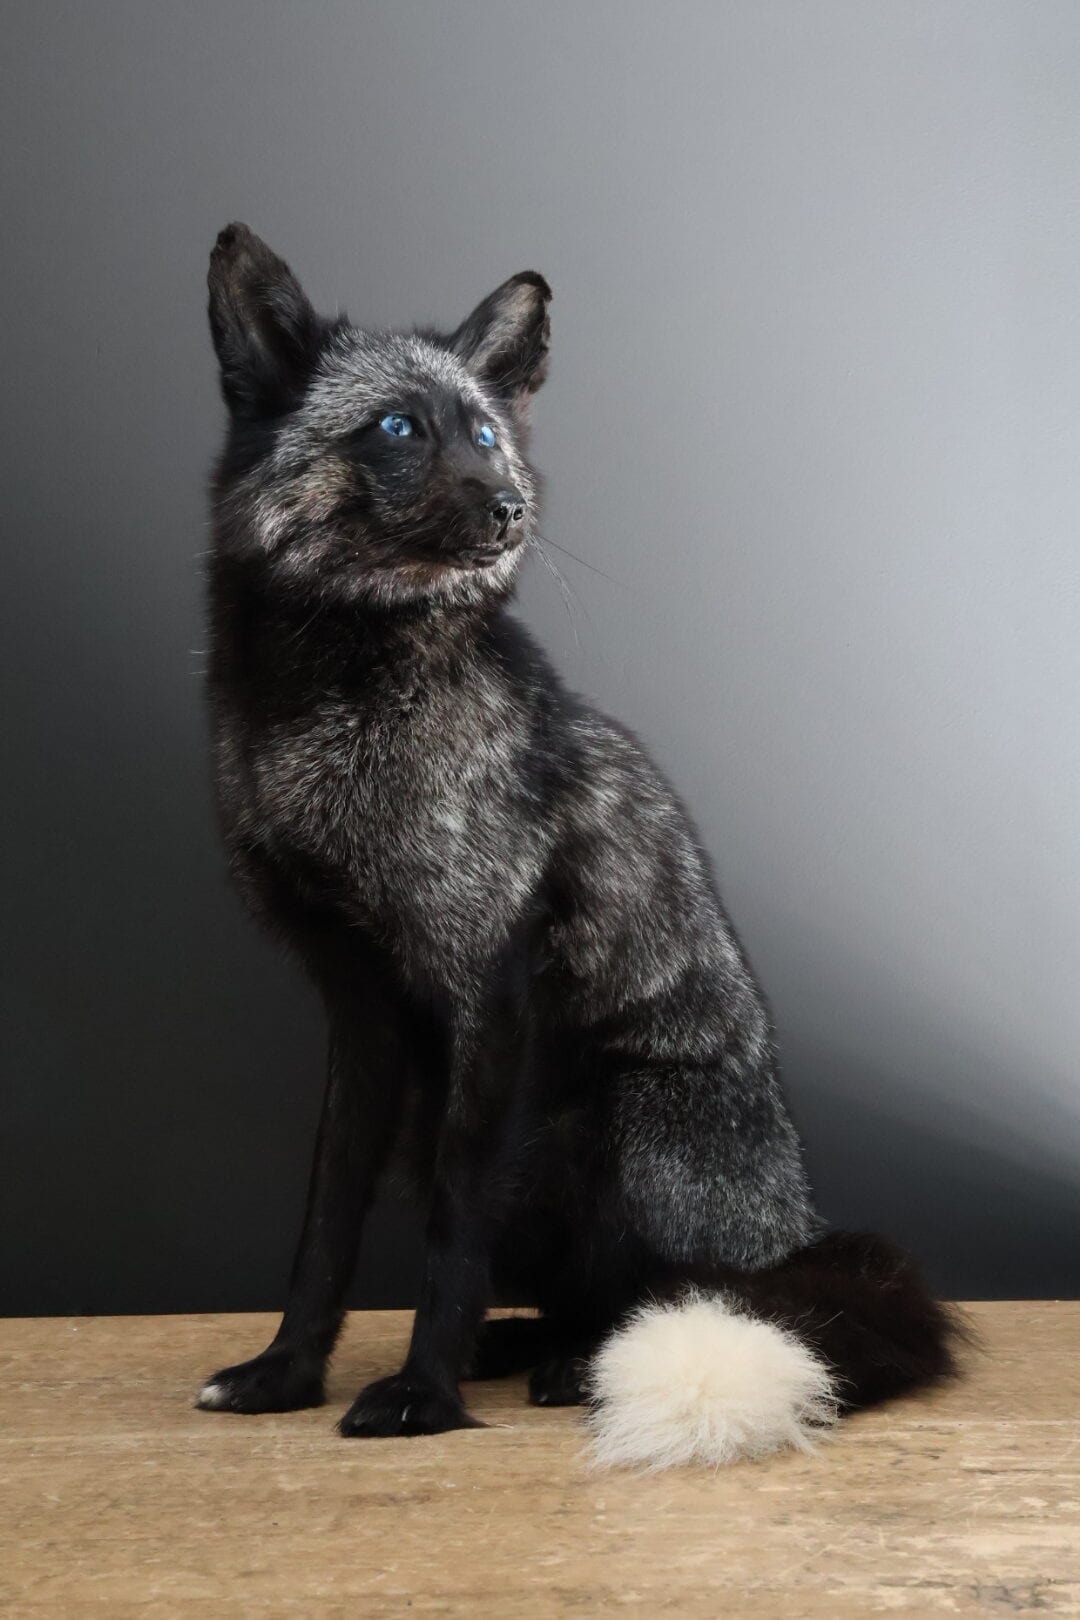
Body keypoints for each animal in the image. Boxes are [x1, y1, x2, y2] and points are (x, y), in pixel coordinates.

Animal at [196, 223, 962, 1467]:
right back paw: (525, 1345)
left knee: (665, 1296)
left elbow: (451, 1231)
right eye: (399, 428)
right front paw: (286, 1373)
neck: (326, 710)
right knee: (580, 1295)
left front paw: (422, 1394)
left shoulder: (484, 983)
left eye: (487, 432)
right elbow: (325, 1224)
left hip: (617, 1129)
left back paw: (570, 1363)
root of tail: (798, 1238)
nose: (512, 506)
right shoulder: (359, 1008)